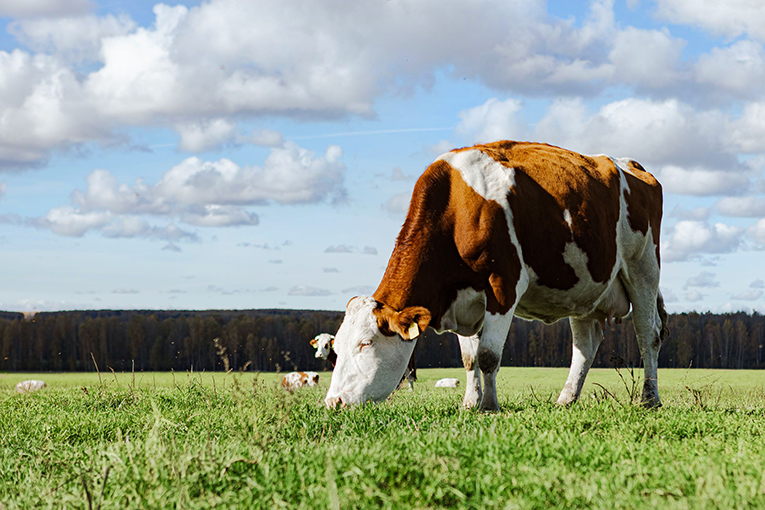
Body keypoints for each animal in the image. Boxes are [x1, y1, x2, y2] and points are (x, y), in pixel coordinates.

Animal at [326, 139, 664, 410]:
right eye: (336, 347)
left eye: (366, 343)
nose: (333, 402)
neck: (457, 205)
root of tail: (631, 165)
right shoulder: (465, 299)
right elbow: (470, 359)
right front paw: (469, 403)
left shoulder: (504, 285)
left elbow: (488, 355)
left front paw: (489, 406)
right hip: (586, 288)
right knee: (585, 344)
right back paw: (566, 399)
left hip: (644, 268)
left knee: (648, 334)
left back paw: (650, 399)